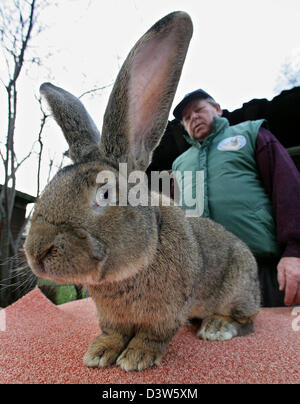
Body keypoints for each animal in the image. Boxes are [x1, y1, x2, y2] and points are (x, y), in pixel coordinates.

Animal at [25, 11, 260, 370]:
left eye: (104, 195)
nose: (36, 252)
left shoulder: (166, 312)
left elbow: (153, 334)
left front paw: (137, 357)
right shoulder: (112, 316)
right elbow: (114, 332)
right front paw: (100, 353)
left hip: (238, 290)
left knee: (247, 320)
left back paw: (217, 327)